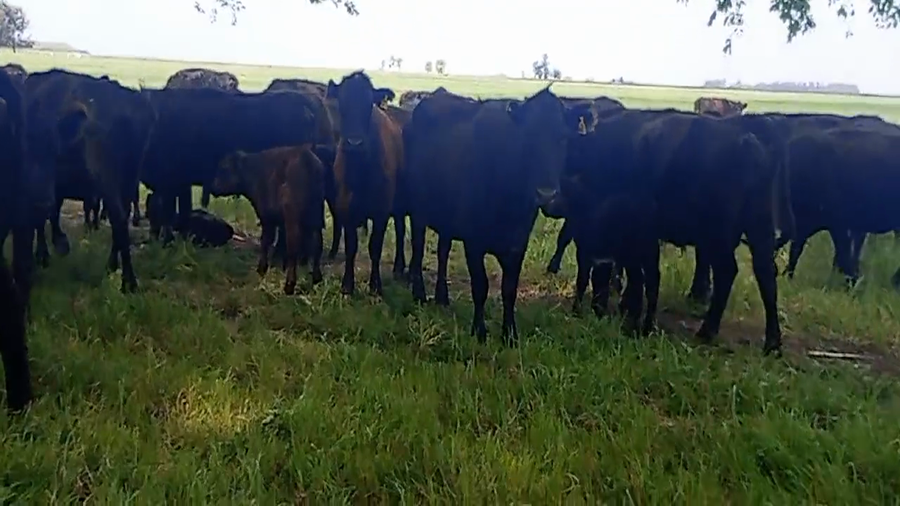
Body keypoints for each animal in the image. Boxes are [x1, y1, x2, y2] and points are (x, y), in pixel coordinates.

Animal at [210, 145, 326, 294]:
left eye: (224, 167)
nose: (213, 186)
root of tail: (307, 159)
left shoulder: (267, 218)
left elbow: (266, 240)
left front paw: (261, 268)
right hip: (316, 217)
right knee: (317, 244)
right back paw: (317, 279)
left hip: (293, 219)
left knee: (294, 246)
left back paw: (289, 285)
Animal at [325, 70, 406, 296]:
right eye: (342, 103)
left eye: (369, 105)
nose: (354, 143)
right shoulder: (346, 208)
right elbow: (351, 247)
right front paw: (347, 285)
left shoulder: (382, 210)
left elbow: (375, 247)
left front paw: (375, 285)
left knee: (401, 230)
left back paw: (399, 267)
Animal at [404, 85, 584, 343]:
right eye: (528, 138)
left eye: (563, 139)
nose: (546, 193)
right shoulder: (473, 243)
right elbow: (481, 286)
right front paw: (479, 330)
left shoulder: (518, 245)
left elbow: (509, 289)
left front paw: (510, 333)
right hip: (418, 211)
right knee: (418, 249)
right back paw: (419, 293)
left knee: (442, 252)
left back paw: (442, 296)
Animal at [563, 109, 792, 354]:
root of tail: (748, 131)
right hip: (759, 228)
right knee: (766, 275)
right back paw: (772, 342)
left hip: (719, 235)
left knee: (727, 272)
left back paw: (707, 331)